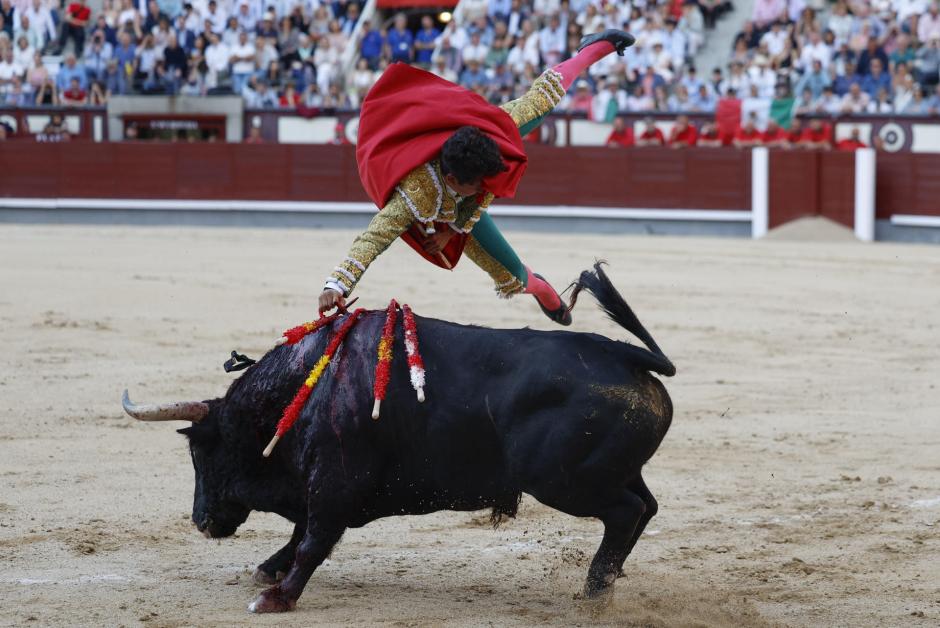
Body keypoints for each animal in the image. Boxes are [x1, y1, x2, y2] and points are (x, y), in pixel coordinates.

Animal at [123, 264, 676, 612]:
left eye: (202, 449)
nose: (200, 521)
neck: (306, 387)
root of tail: (628, 355)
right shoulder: (322, 484)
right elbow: (301, 533)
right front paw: (269, 571)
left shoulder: (335, 480)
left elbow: (313, 539)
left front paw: (276, 598)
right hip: (609, 473)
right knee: (645, 507)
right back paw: (606, 582)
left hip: (564, 482)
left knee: (625, 512)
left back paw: (594, 594)